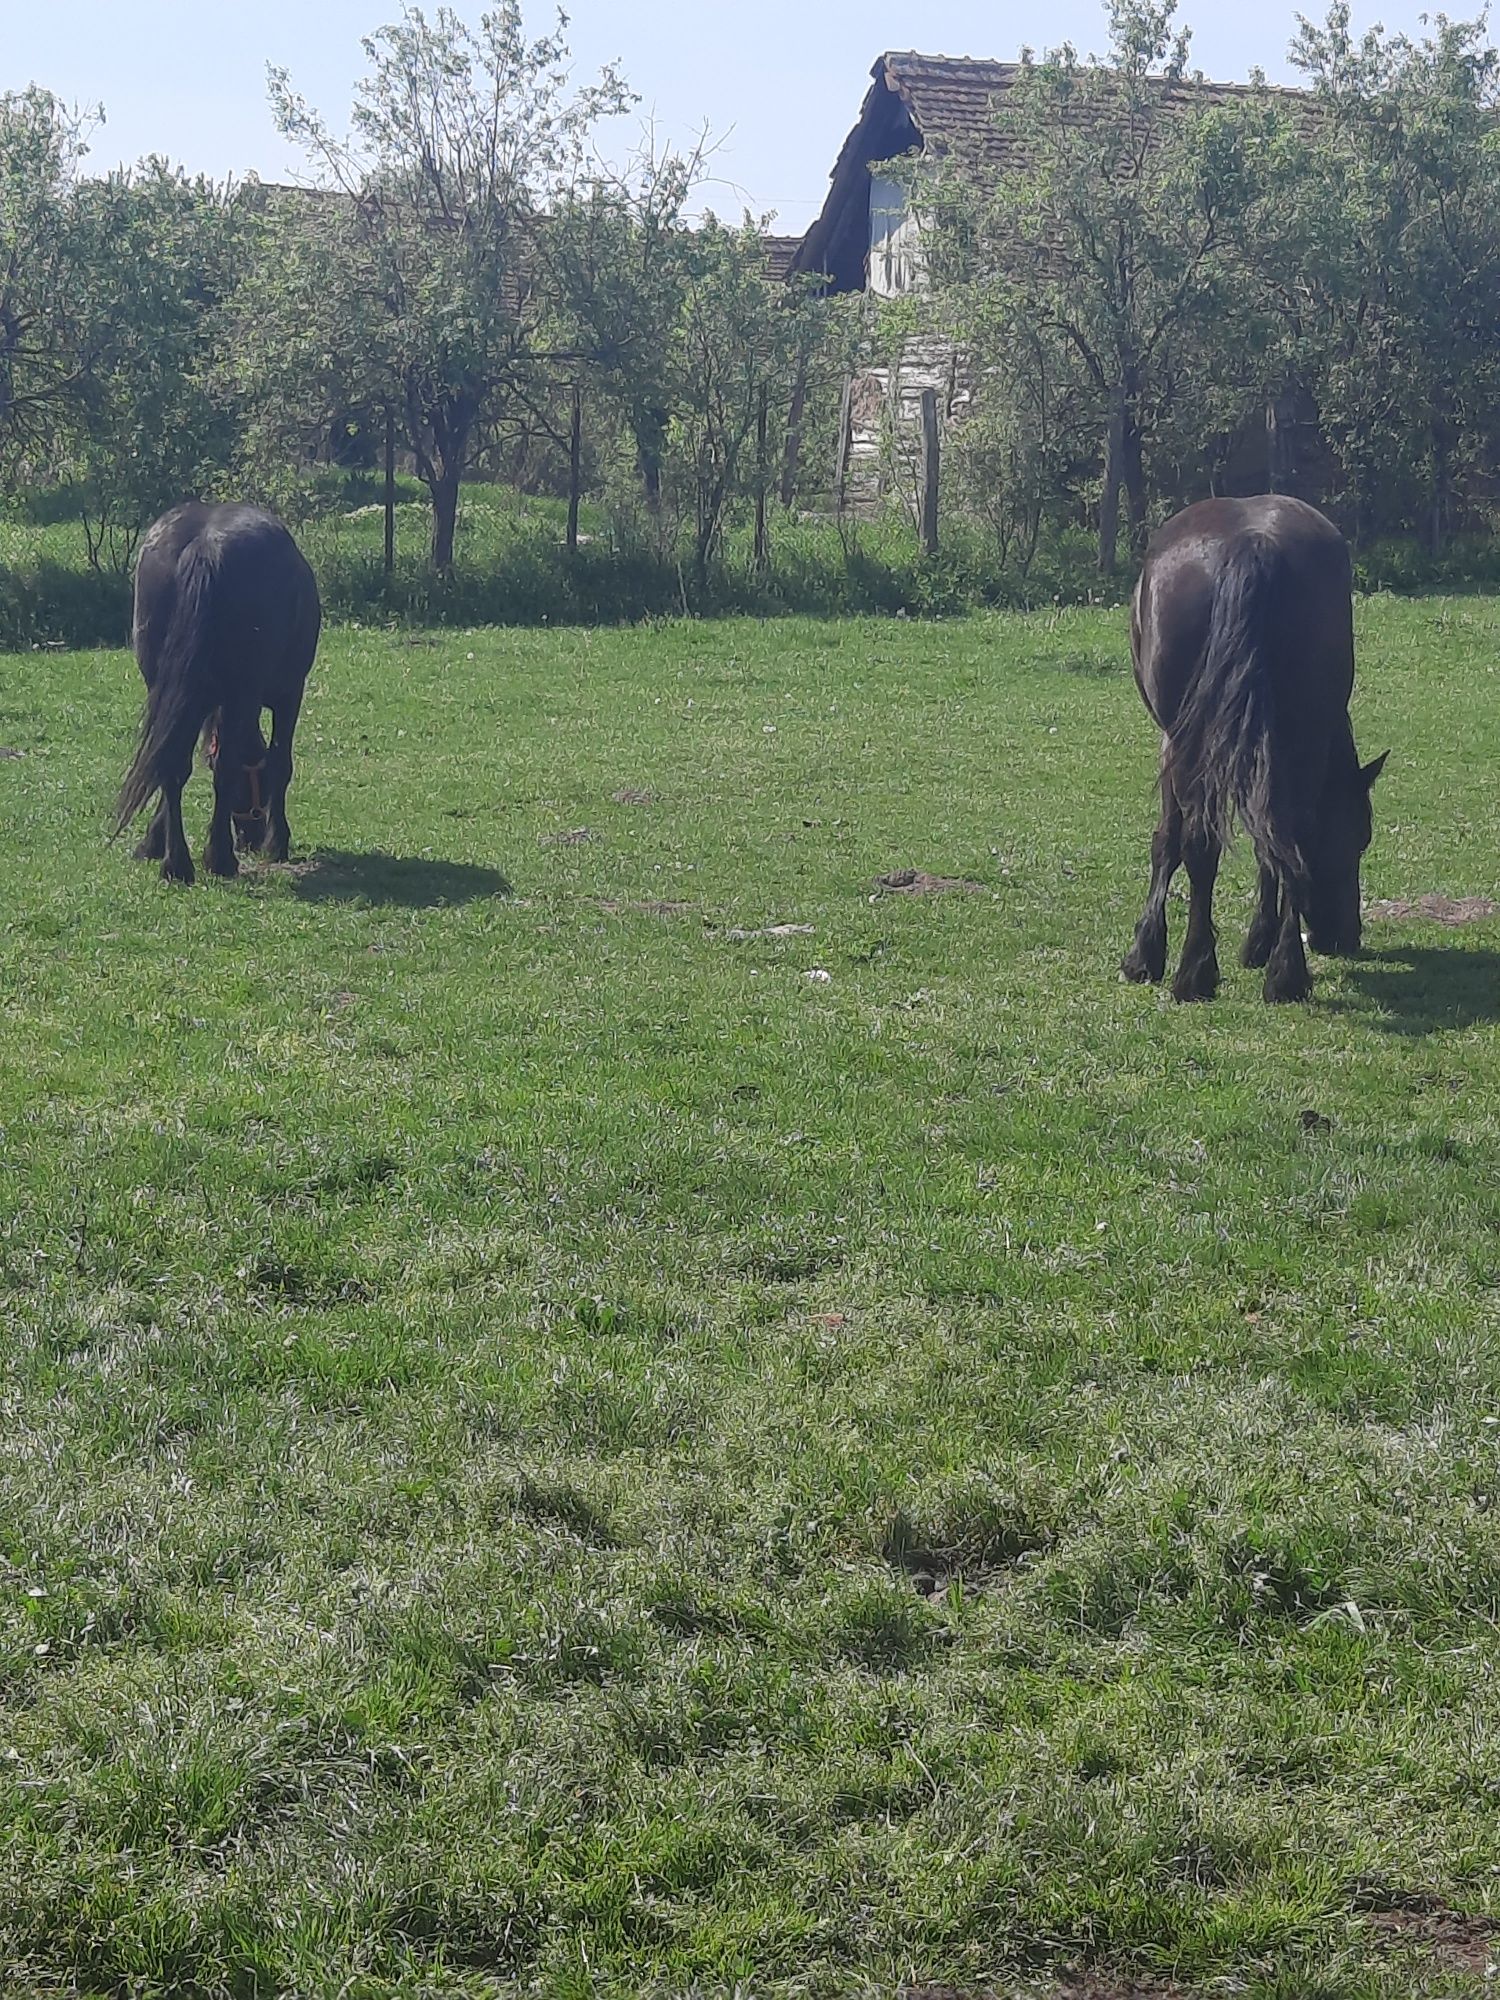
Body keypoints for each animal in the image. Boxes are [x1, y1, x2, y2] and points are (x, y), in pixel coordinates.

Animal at [119, 500, 324, 884]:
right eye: (255, 781)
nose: (251, 838)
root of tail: (205, 546)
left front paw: (153, 841)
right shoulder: (289, 694)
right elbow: (279, 763)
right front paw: (278, 841)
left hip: (165, 687)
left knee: (170, 763)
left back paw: (177, 864)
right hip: (242, 694)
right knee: (225, 764)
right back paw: (220, 858)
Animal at [1128, 496, 1384, 1000]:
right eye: (1357, 837)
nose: (1344, 937)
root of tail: (1252, 546)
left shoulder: (1171, 742)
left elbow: (1168, 839)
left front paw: (1146, 950)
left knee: (1214, 842)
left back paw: (1208, 972)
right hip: (1294, 739)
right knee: (1283, 835)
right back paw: (1275, 973)